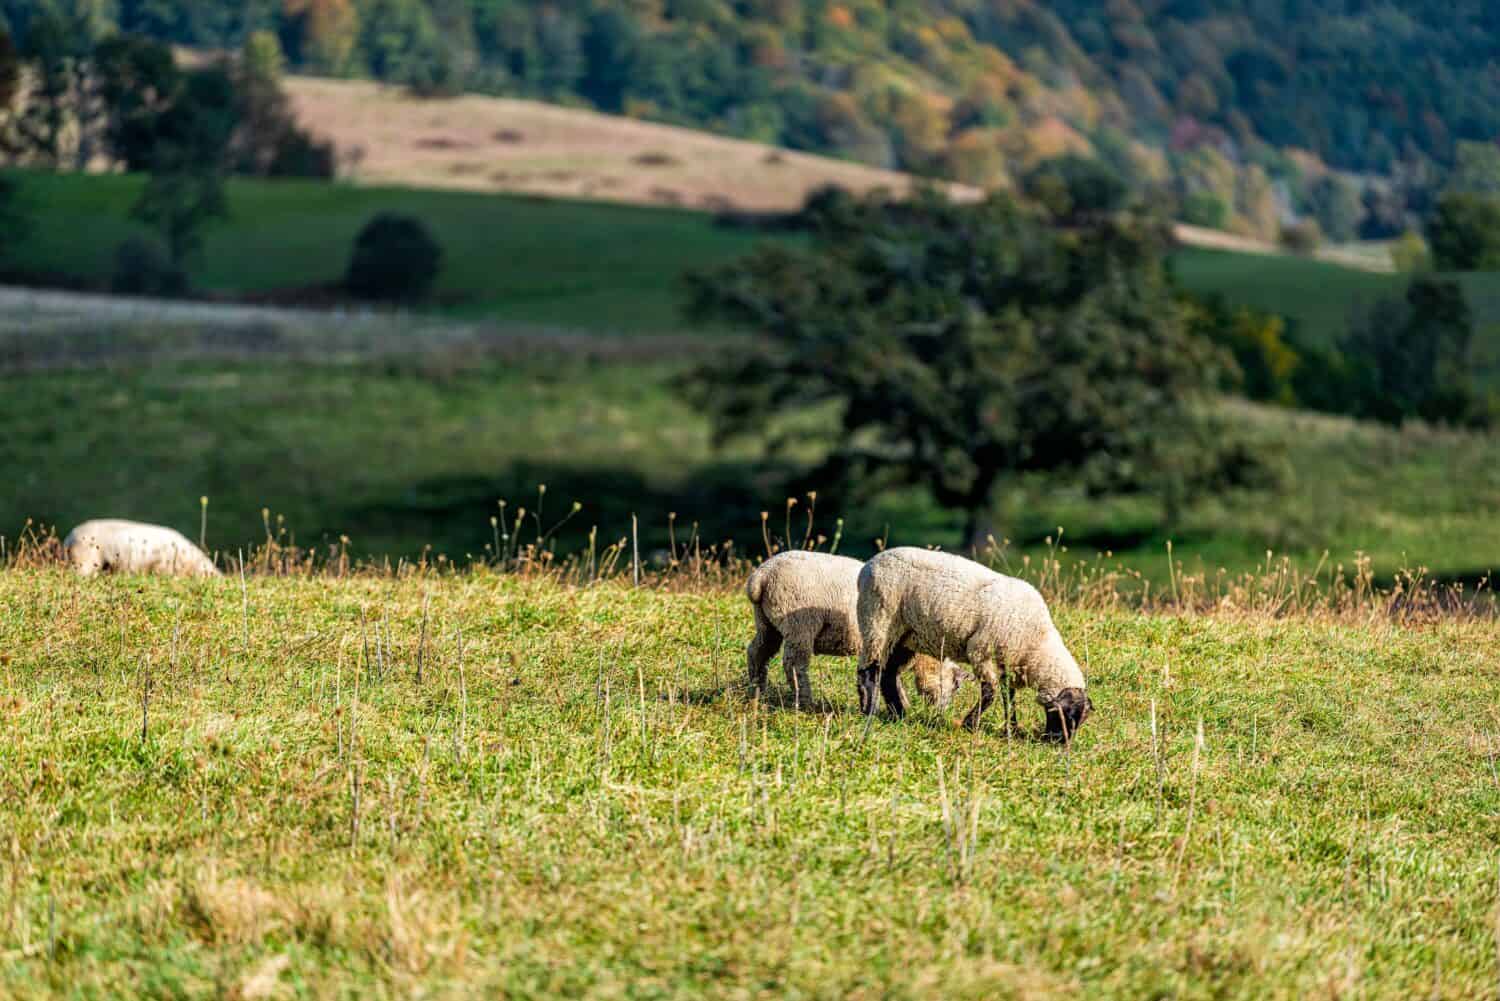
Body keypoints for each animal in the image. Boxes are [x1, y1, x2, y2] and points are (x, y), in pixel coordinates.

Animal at [747, 549, 960, 711]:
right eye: (955, 685)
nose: (941, 712)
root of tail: (762, 576)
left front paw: (903, 704)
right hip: (799, 624)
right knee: (794, 664)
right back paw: (805, 700)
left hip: (767, 622)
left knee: (757, 652)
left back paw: (757, 689)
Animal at [858, 543, 1092, 741]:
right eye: (1064, 715)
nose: (1058, 742)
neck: (1036, 642)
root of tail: (869, 564)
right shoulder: (981, 651)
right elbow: (990, 692)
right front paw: (970, 724)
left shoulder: (1007, 662)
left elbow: (1008, 697)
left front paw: (1012, 729)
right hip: (878, 619)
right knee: (869, 671)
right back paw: (869, 712)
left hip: (905, 636)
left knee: (888, 674)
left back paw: (898, 714)